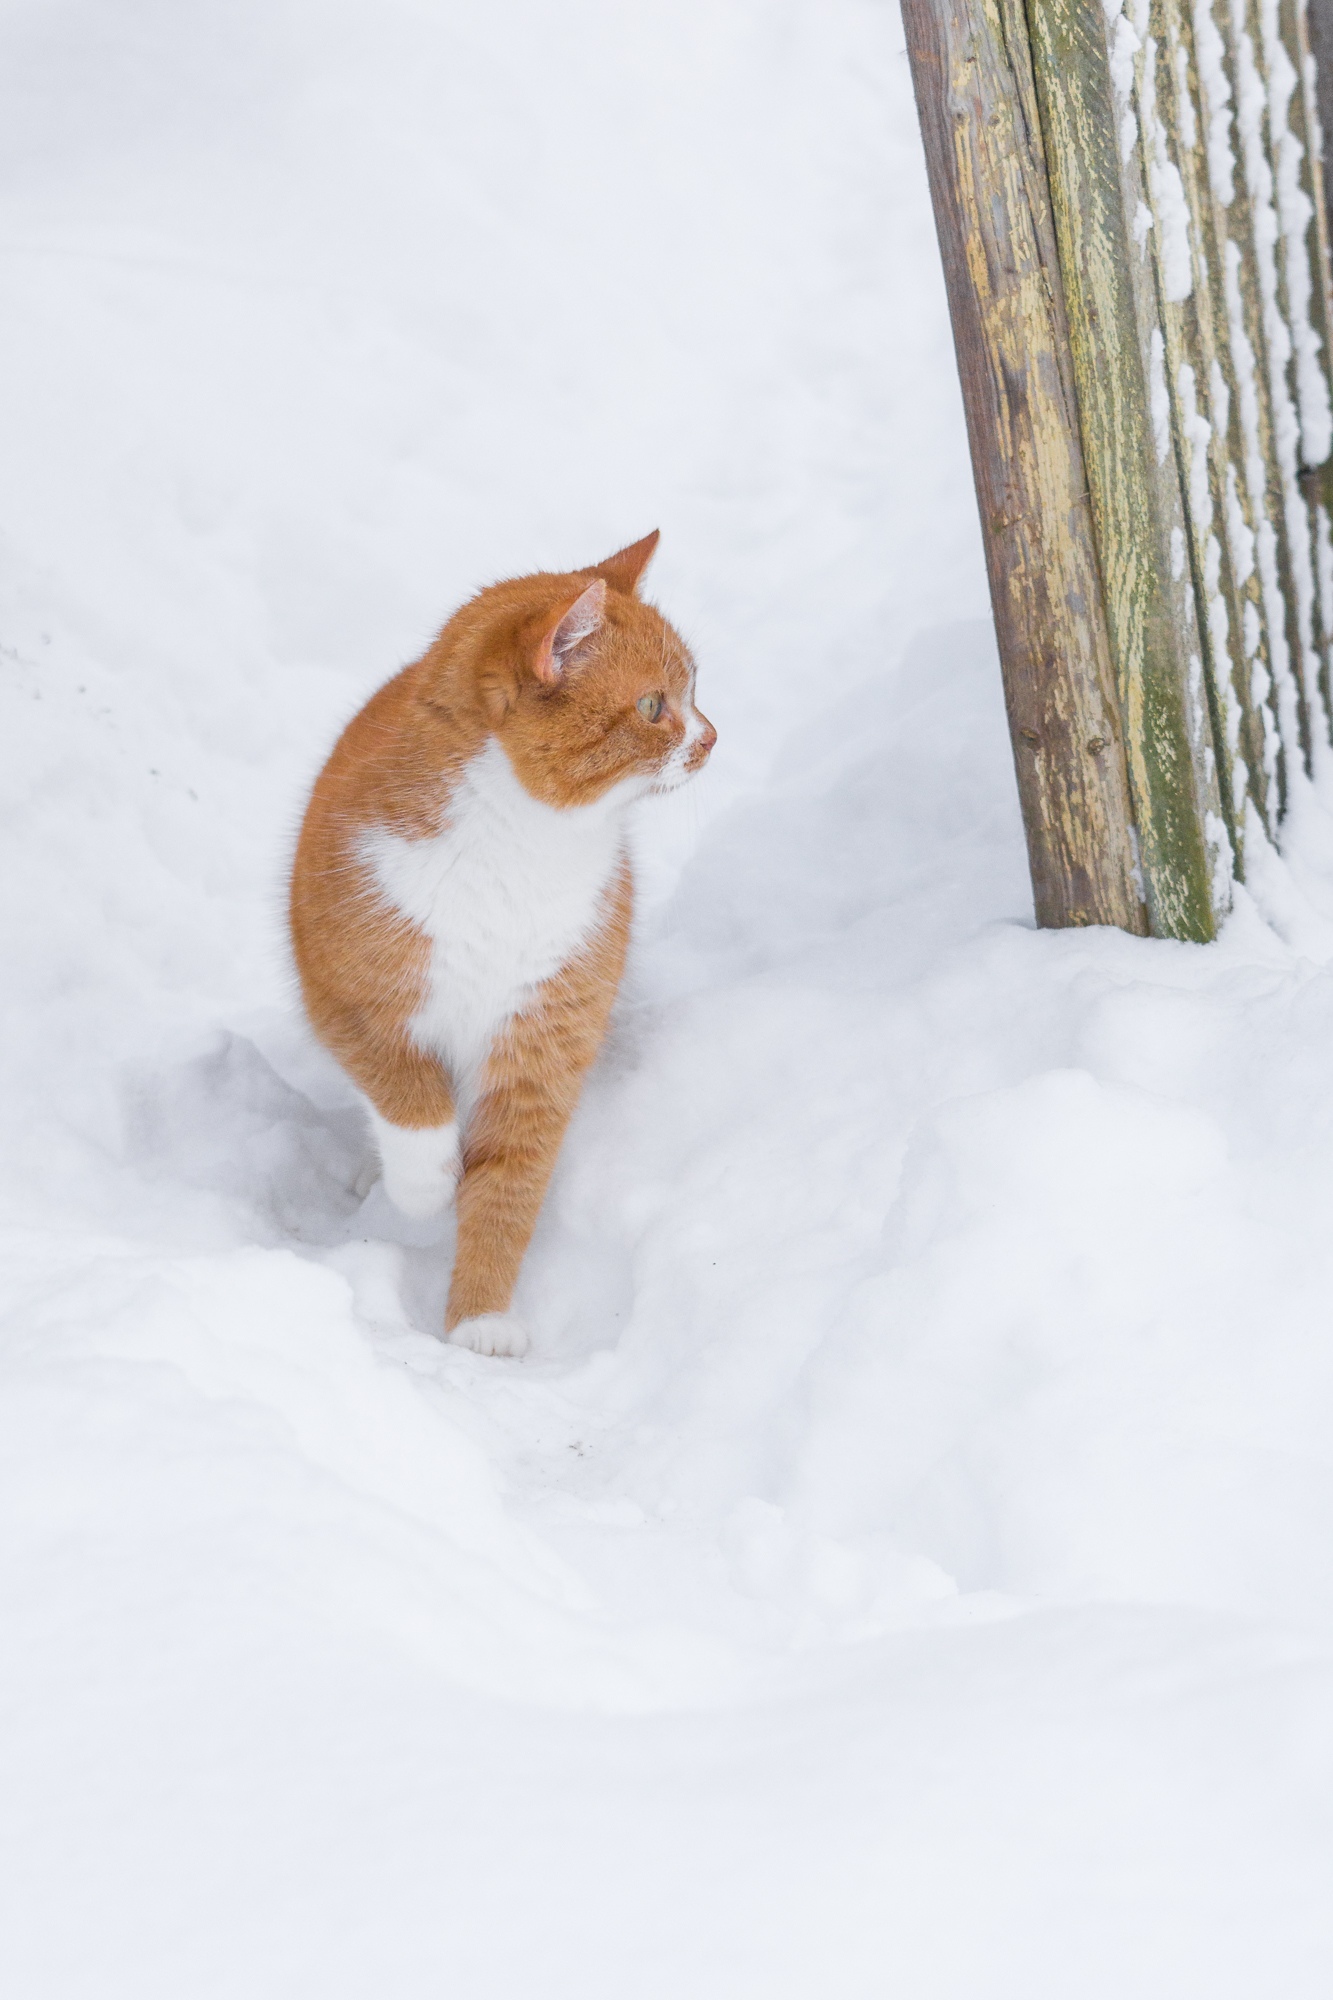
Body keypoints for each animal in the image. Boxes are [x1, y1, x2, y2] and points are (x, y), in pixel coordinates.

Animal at [286, 540, 712, 1360]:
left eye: (695, 690)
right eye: (654, 707)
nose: (710, 737)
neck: (521, 848)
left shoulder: (546, 1036)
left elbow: (511, 1181)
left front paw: (480, 1317)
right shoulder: (345, 990)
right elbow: (407, 1093)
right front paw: (423, 1186)